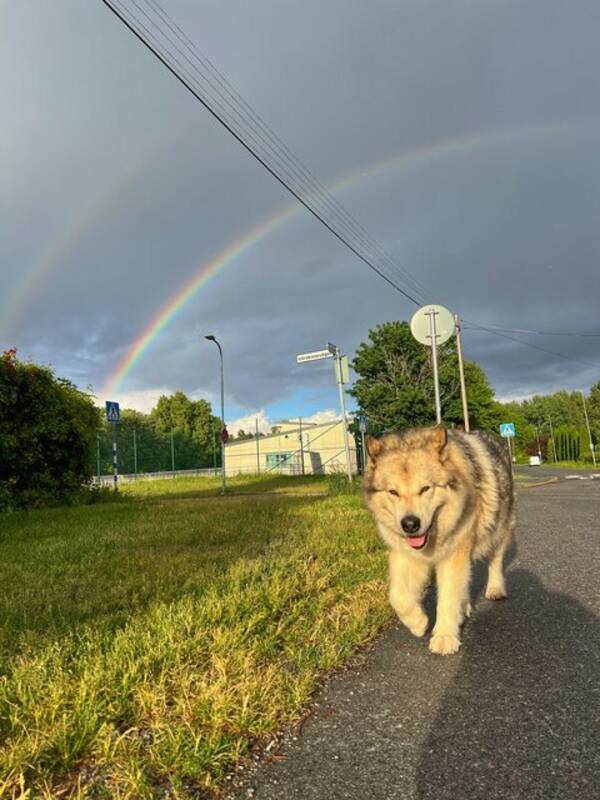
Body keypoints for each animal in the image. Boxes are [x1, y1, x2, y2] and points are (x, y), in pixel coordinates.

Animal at [364, 424, 516, 656]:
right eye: (393, 492)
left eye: (426, 488)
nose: (410, 524)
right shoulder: (405, 556)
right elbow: (398, 596)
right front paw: (418, 622)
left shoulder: (454, 555)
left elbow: (448, 597)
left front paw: (444, 636)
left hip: (498, 529)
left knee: (495, 560)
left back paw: (495, 589)